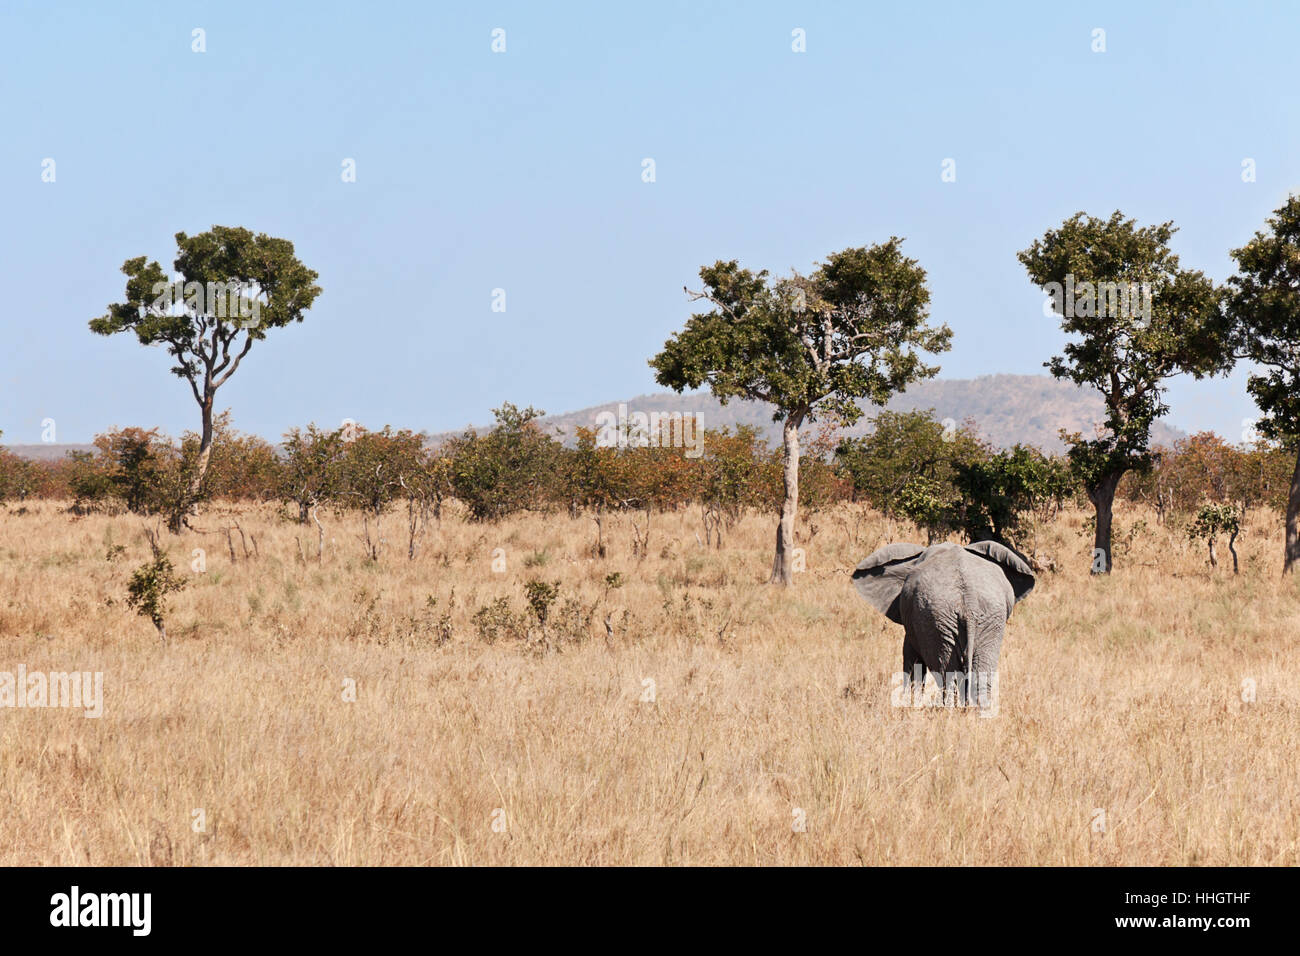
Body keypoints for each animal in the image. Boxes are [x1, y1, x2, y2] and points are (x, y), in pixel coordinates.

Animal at [852, 541, 1034, 707]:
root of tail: (968, 602)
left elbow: (911, 660)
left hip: (939, 620)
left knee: (948, 676)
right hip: (982, 618)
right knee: (978, 675)